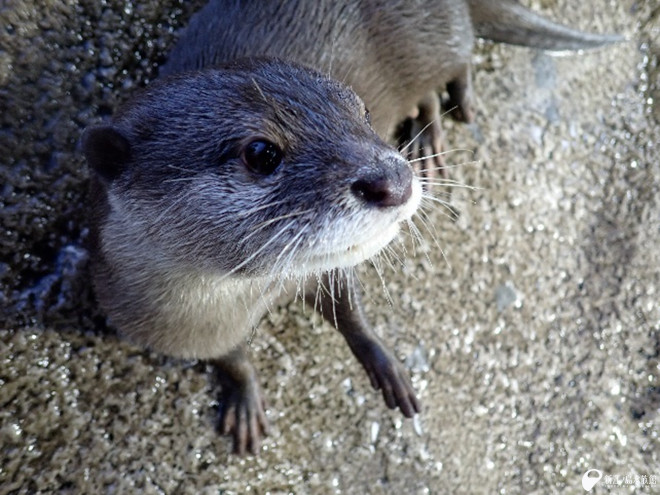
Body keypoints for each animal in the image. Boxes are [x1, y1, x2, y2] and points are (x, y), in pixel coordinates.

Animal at [84, 60, 422, 456]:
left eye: (364, 114)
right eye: (261, 153)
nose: (396, 181)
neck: (255, 300)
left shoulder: (321, 271)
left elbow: (350, 310)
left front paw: (387, 365)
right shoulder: (179, 331)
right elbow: (230, 358)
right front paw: (245, 399)